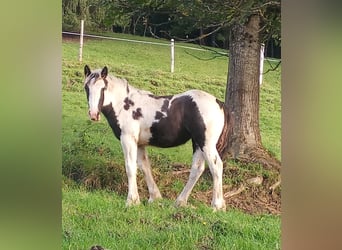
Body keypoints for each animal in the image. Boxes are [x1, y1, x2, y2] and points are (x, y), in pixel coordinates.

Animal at [84, 65, 231, 210]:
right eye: (86, 87)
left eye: (103, 88)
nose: (93, 114)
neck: (124, 105)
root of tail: (218, 103)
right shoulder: (139, 144)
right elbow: (144, 167)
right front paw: (154, 198)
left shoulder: (128, 139)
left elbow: (130, 167)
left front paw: (131, 201)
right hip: (198, 143)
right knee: (197, 169)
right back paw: (180, 202)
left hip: (206, 144)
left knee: (216, 166)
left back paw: (217, 205)